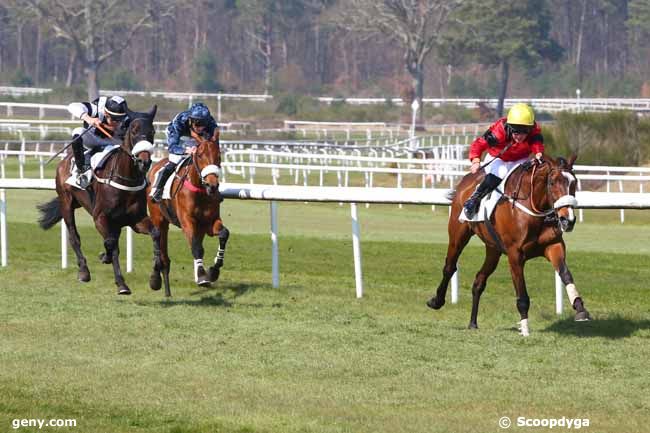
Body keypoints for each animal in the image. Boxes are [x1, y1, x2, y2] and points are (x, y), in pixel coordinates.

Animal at [38, 106, 159, 294]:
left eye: (152, 131)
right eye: (134, 131)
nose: (143, 161)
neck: (126, 179)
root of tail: (64, 161)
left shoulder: (135, 219)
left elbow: (155, 234)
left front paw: (155, 279)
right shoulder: (100, 217)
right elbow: (111, 243)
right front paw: (121, 283)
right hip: (66, 203)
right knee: (74, 237)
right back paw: (83, 271)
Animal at [146, 126, 228, 296]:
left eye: (218, 156)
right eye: (200, 155)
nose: (212, 186)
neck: (200, 191)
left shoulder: (209, 223)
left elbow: (224, 234)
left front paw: (213, 271)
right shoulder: (186, 221)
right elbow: (196, 247)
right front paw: (202, 276)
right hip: (159, 219)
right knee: (159, 245)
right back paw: (156, 278)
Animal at [426, 154, 588, 336]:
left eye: (574, 182)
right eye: (552, 182)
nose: (568, 220)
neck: (533, 208)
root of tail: (466, 180)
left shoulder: (554, 246)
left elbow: (565, 274)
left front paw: (580, 307)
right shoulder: (515, 254)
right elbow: (522, 295)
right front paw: (525, 329)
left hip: (493, 249)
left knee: (479, 280)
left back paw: (473, 322)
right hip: (458, 234)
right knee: (449, 267)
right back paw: (436, 301)